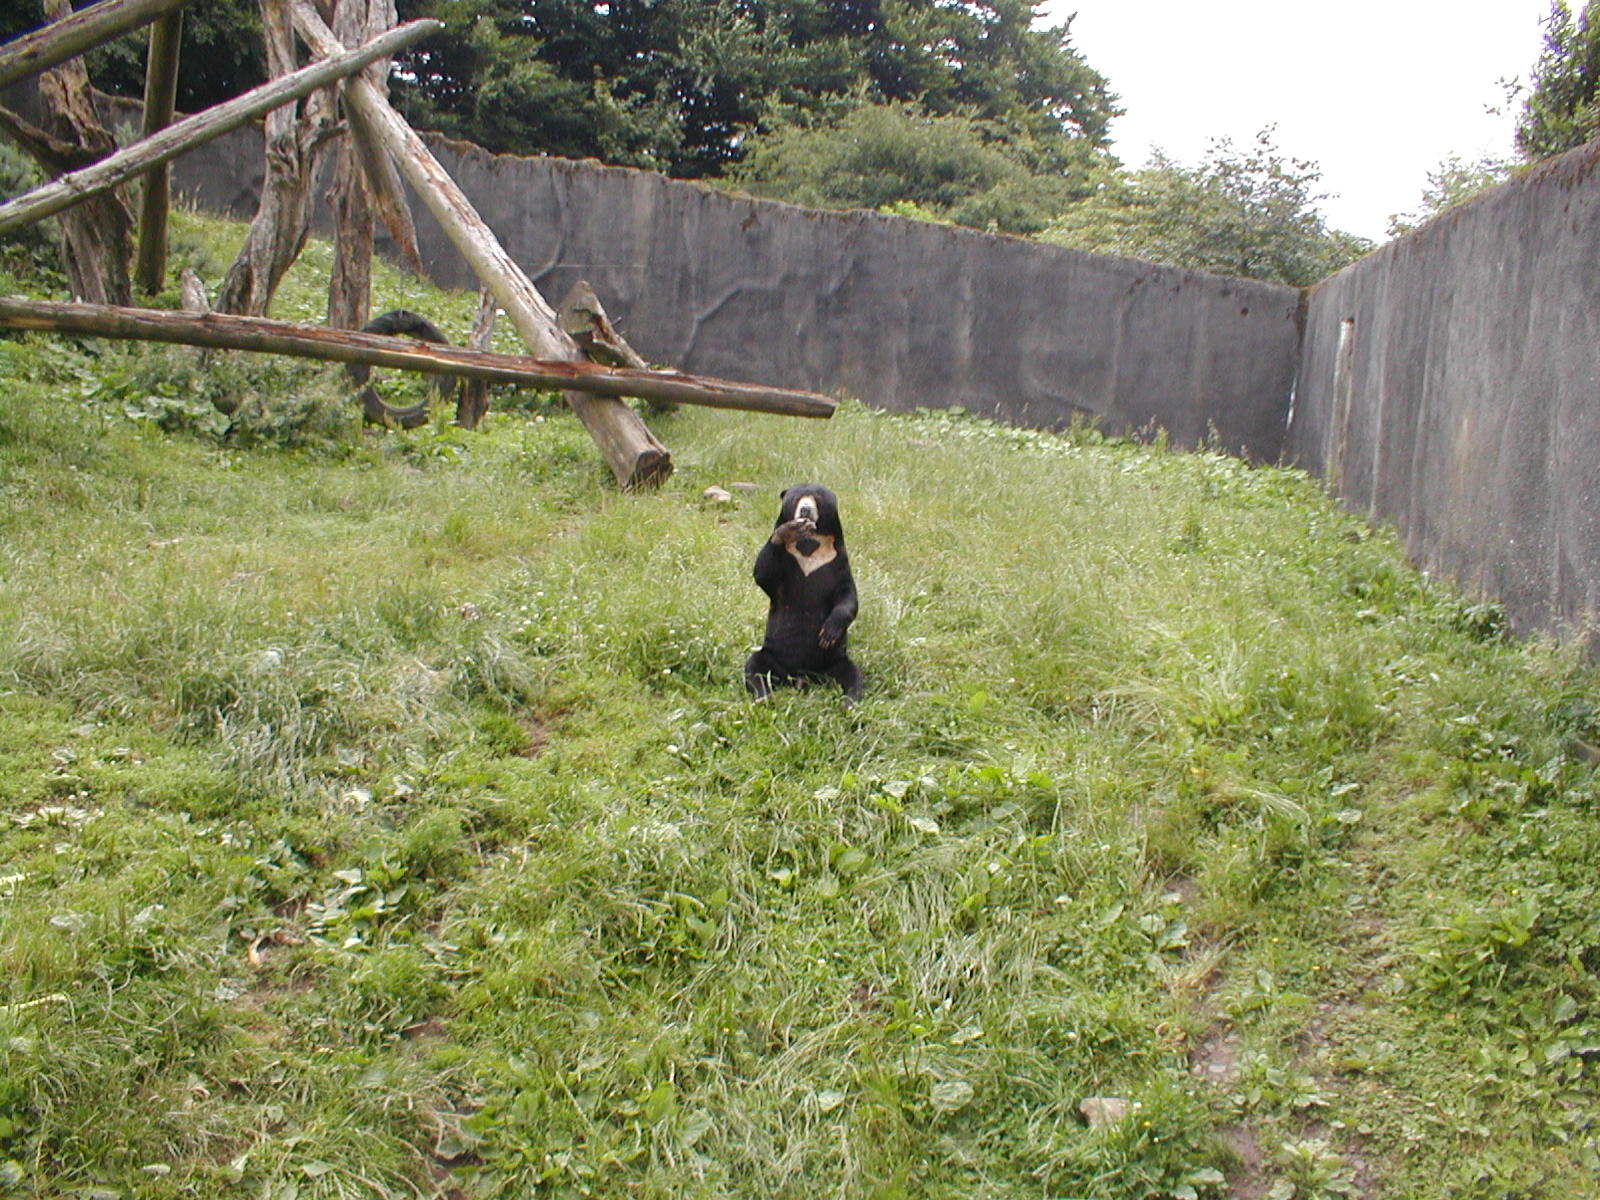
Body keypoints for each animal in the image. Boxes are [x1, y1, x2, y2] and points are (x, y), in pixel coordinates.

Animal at [744, 484, 863, 701]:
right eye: (796, 498)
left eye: (818, 498)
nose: (805, 510)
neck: (810, 543)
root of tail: (799, 677)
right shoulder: (786, 560)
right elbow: (764, 574)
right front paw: (789, 530)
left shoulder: (837, 561)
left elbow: (847, 596)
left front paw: (828, 633)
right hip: (773, 655)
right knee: (754, 666)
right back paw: (764, 697)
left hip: (833, 661)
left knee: (853, 675)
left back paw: (848, 702)